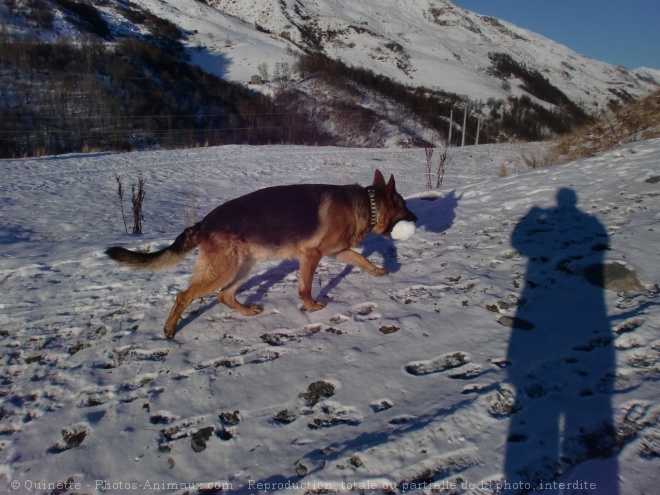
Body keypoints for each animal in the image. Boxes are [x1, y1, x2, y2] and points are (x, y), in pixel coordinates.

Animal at [108, 170, 418, 338]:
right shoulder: (312, 255)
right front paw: (311, 306)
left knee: (224, 295)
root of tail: (203, 223)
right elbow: (305, 287)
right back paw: (170, 330)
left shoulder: (340, 251)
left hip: (242, 268)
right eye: (404, 205)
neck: (368, 204)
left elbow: (362, 259)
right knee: (184, 295)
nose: (416, 218)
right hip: (225, 269)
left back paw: (246, 311)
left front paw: (378, 270)